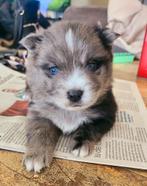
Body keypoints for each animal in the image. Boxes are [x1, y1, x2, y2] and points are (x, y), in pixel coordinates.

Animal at [21, 21, 117, 173]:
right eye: (53, 69)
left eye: (92, 65)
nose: (75, 94)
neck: (70, 112)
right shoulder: (39, 113)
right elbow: (39, 131)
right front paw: (36, 154)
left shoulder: (106, 113)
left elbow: (91, 127)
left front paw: (81, 144)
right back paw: (27, 93)